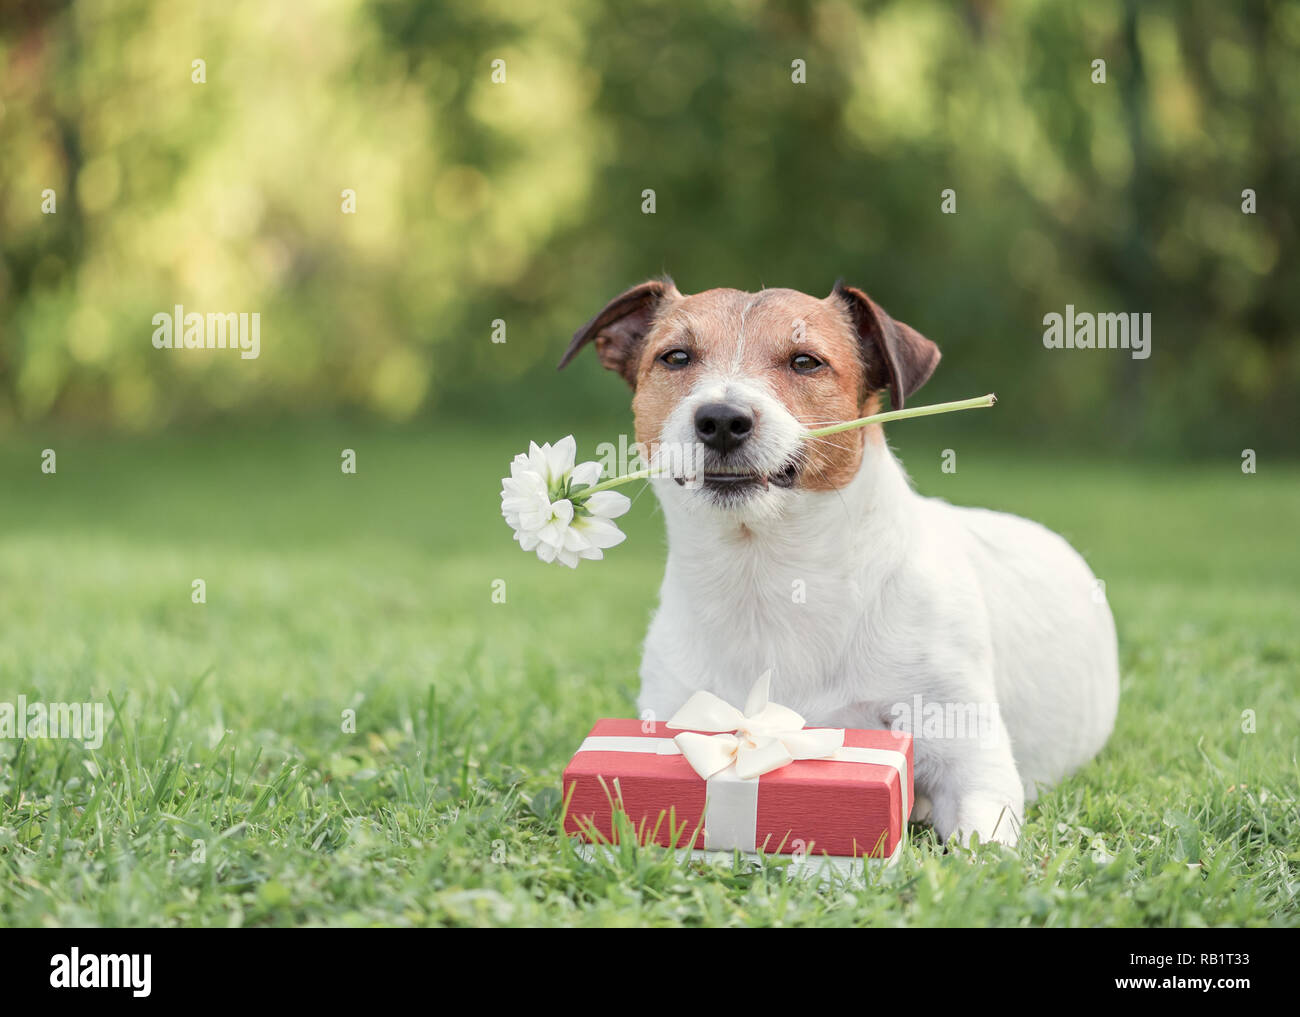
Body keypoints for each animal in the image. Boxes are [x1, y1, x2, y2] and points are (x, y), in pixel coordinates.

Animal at [556, 277, 1118, 842]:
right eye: (675, 357)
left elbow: (980, 842)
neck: (765, 574)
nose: (721, 420)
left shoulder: (974, 765)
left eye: (806, 361)